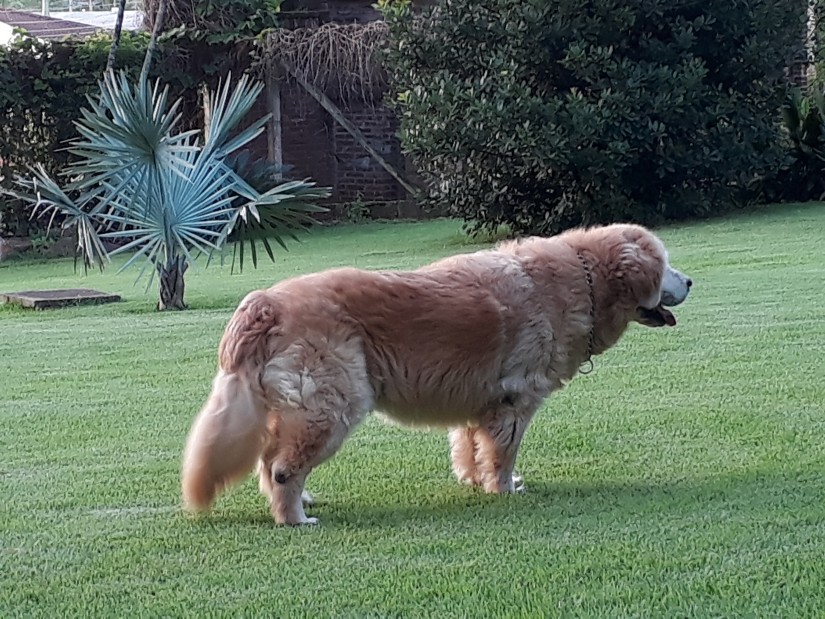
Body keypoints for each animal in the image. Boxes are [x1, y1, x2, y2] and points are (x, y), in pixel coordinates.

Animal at [180, 223, 688, 524]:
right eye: (666, 266)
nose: (691, 280)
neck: (582, 280)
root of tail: (265, 302)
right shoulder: (514, 402)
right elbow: (503, 455)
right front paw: (504, 490)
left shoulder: (480, 404)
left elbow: (470, 449)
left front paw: (475, 482)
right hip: (333, 406)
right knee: (283, 467)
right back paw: (294, 517)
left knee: (270, 462)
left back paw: (300, 502)